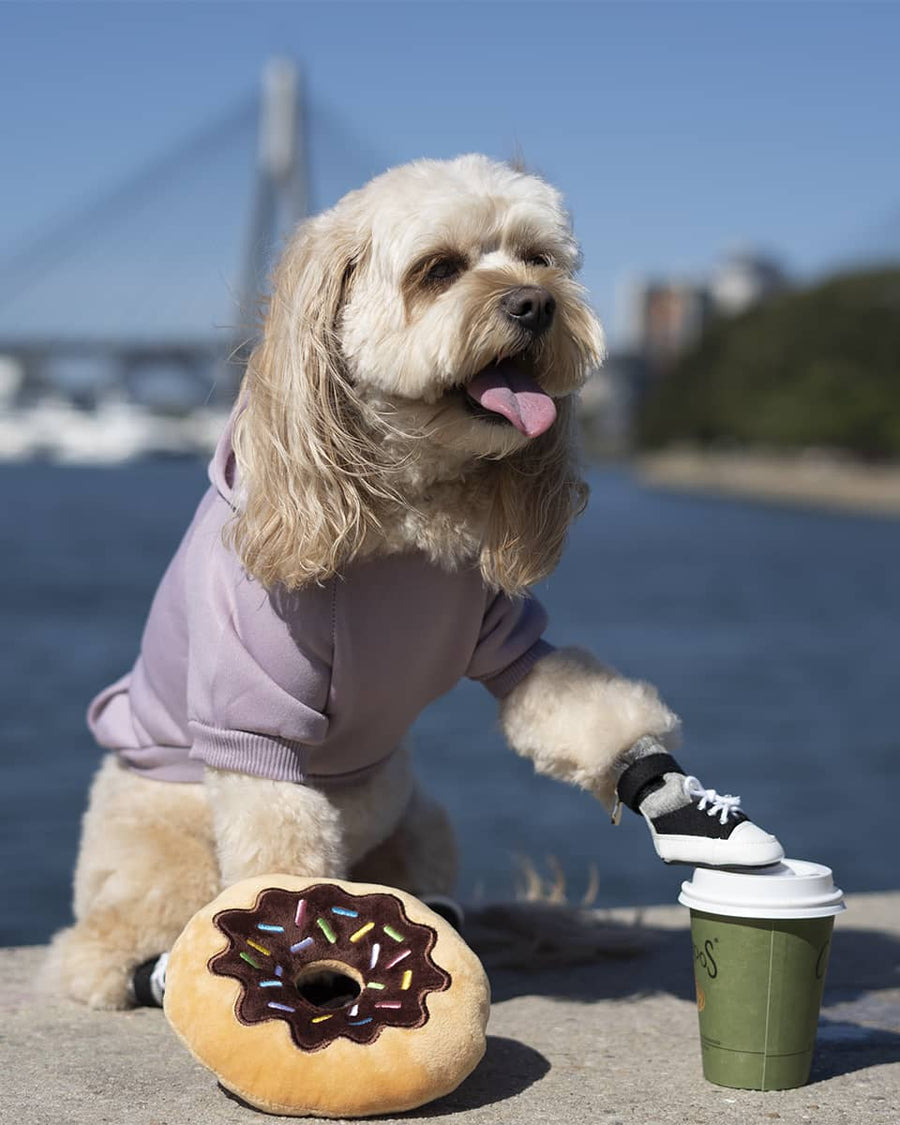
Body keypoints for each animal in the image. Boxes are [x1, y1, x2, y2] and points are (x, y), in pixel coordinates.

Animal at [43, 154, 778, 1008]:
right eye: (440, 269)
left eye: (538, 259)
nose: (535, 304)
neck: (401, 510)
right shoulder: (253, 714)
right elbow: (276, 831)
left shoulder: (510, 637)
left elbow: (579, 706)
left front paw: (679, 801)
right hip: (161, 852)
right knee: (113, 945)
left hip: (420, 821)